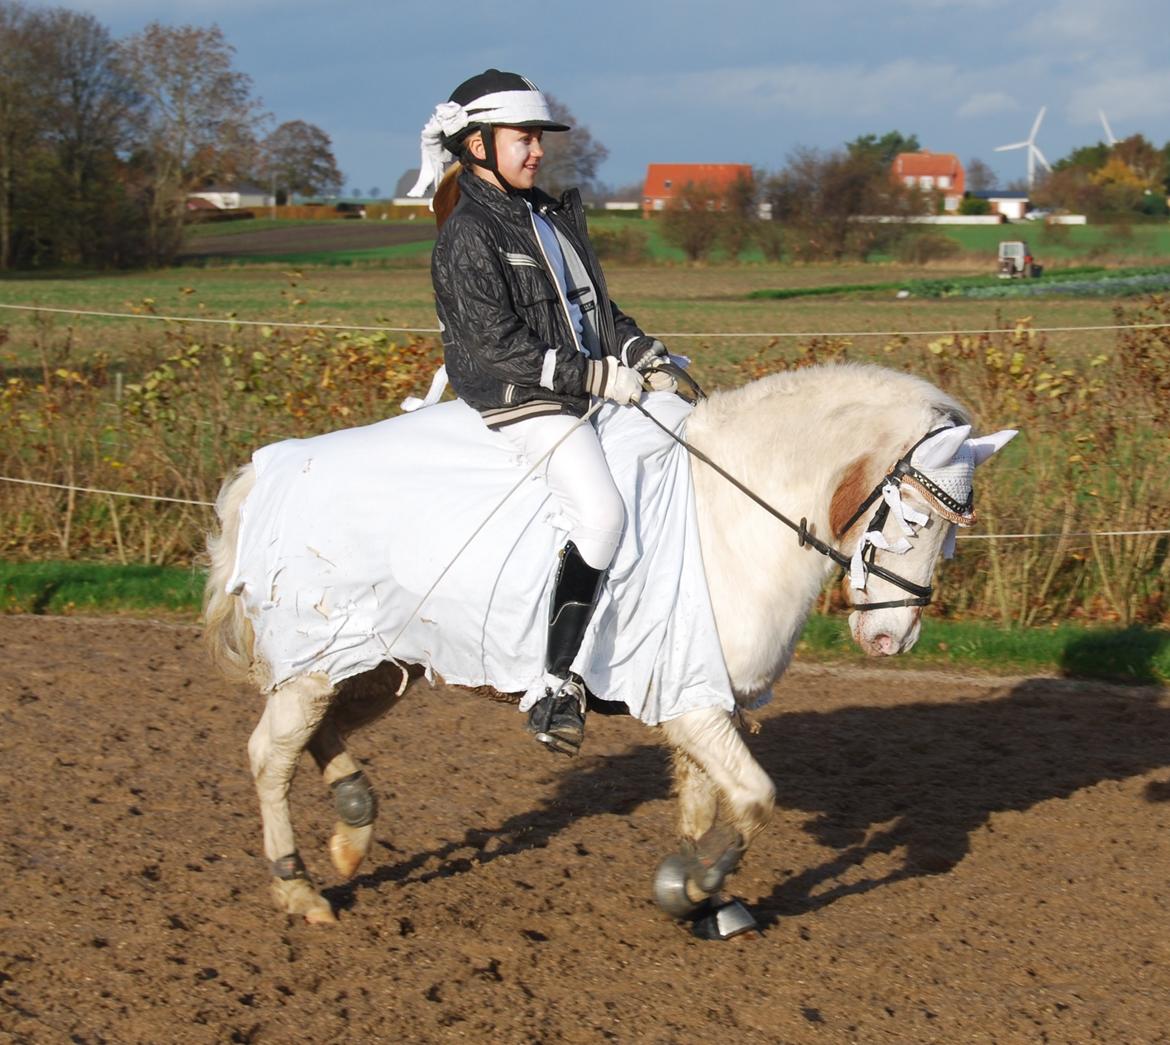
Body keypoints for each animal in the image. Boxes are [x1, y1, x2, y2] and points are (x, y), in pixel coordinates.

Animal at [203, 362, 1015, 931]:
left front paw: (699, 898)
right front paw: (694, 888)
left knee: (318, 735)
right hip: (319, 659)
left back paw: (353, 825)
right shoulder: (691, 703)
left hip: (370, 662)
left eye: (951, 533)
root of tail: (270, 468)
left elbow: (702, 807)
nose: (890, 638)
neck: (730, 515)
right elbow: (755, 798)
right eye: (914, 521)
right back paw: (299, 887)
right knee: (269, 754)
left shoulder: (702, 698)